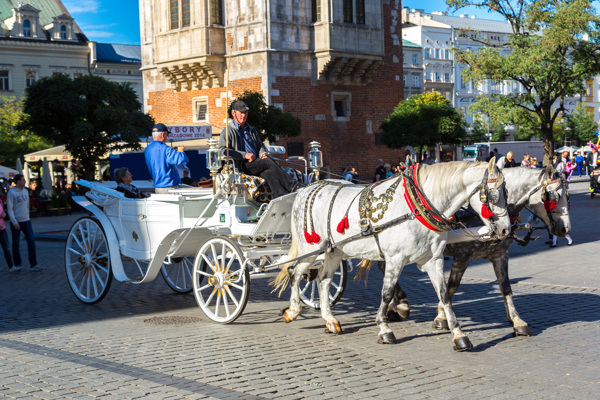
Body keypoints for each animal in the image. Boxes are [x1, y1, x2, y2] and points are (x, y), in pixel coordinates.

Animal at [272, 159, 510, 350]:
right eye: (494, 195)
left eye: (507, 193)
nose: (506, 230)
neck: (416, 207)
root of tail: (307, 188)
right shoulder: (395, 258)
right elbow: (386, 293)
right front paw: (384, 328)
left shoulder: (434, 259)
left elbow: (444, 295)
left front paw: (459, 334)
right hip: (309, 247)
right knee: (295, 272)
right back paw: (293, 311)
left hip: (334, 250)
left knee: (323, 279)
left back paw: (329, 320)